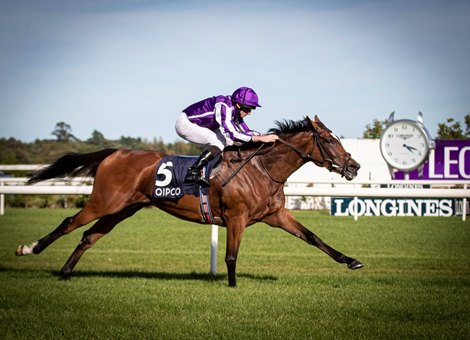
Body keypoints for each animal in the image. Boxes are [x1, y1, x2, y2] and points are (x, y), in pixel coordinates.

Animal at [16, 116, 364, 286]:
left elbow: (313, 237)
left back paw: (65, 272)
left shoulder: (275, 214)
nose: (354, 166)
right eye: (329, 139)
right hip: (104, 202)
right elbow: (231, 255)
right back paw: (28, 249)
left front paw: (351, 261)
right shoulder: (236, 218)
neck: (262, 168)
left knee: (88, 236)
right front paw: (232, 287)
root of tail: (114, 153)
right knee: (68, 224)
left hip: (123, 209)